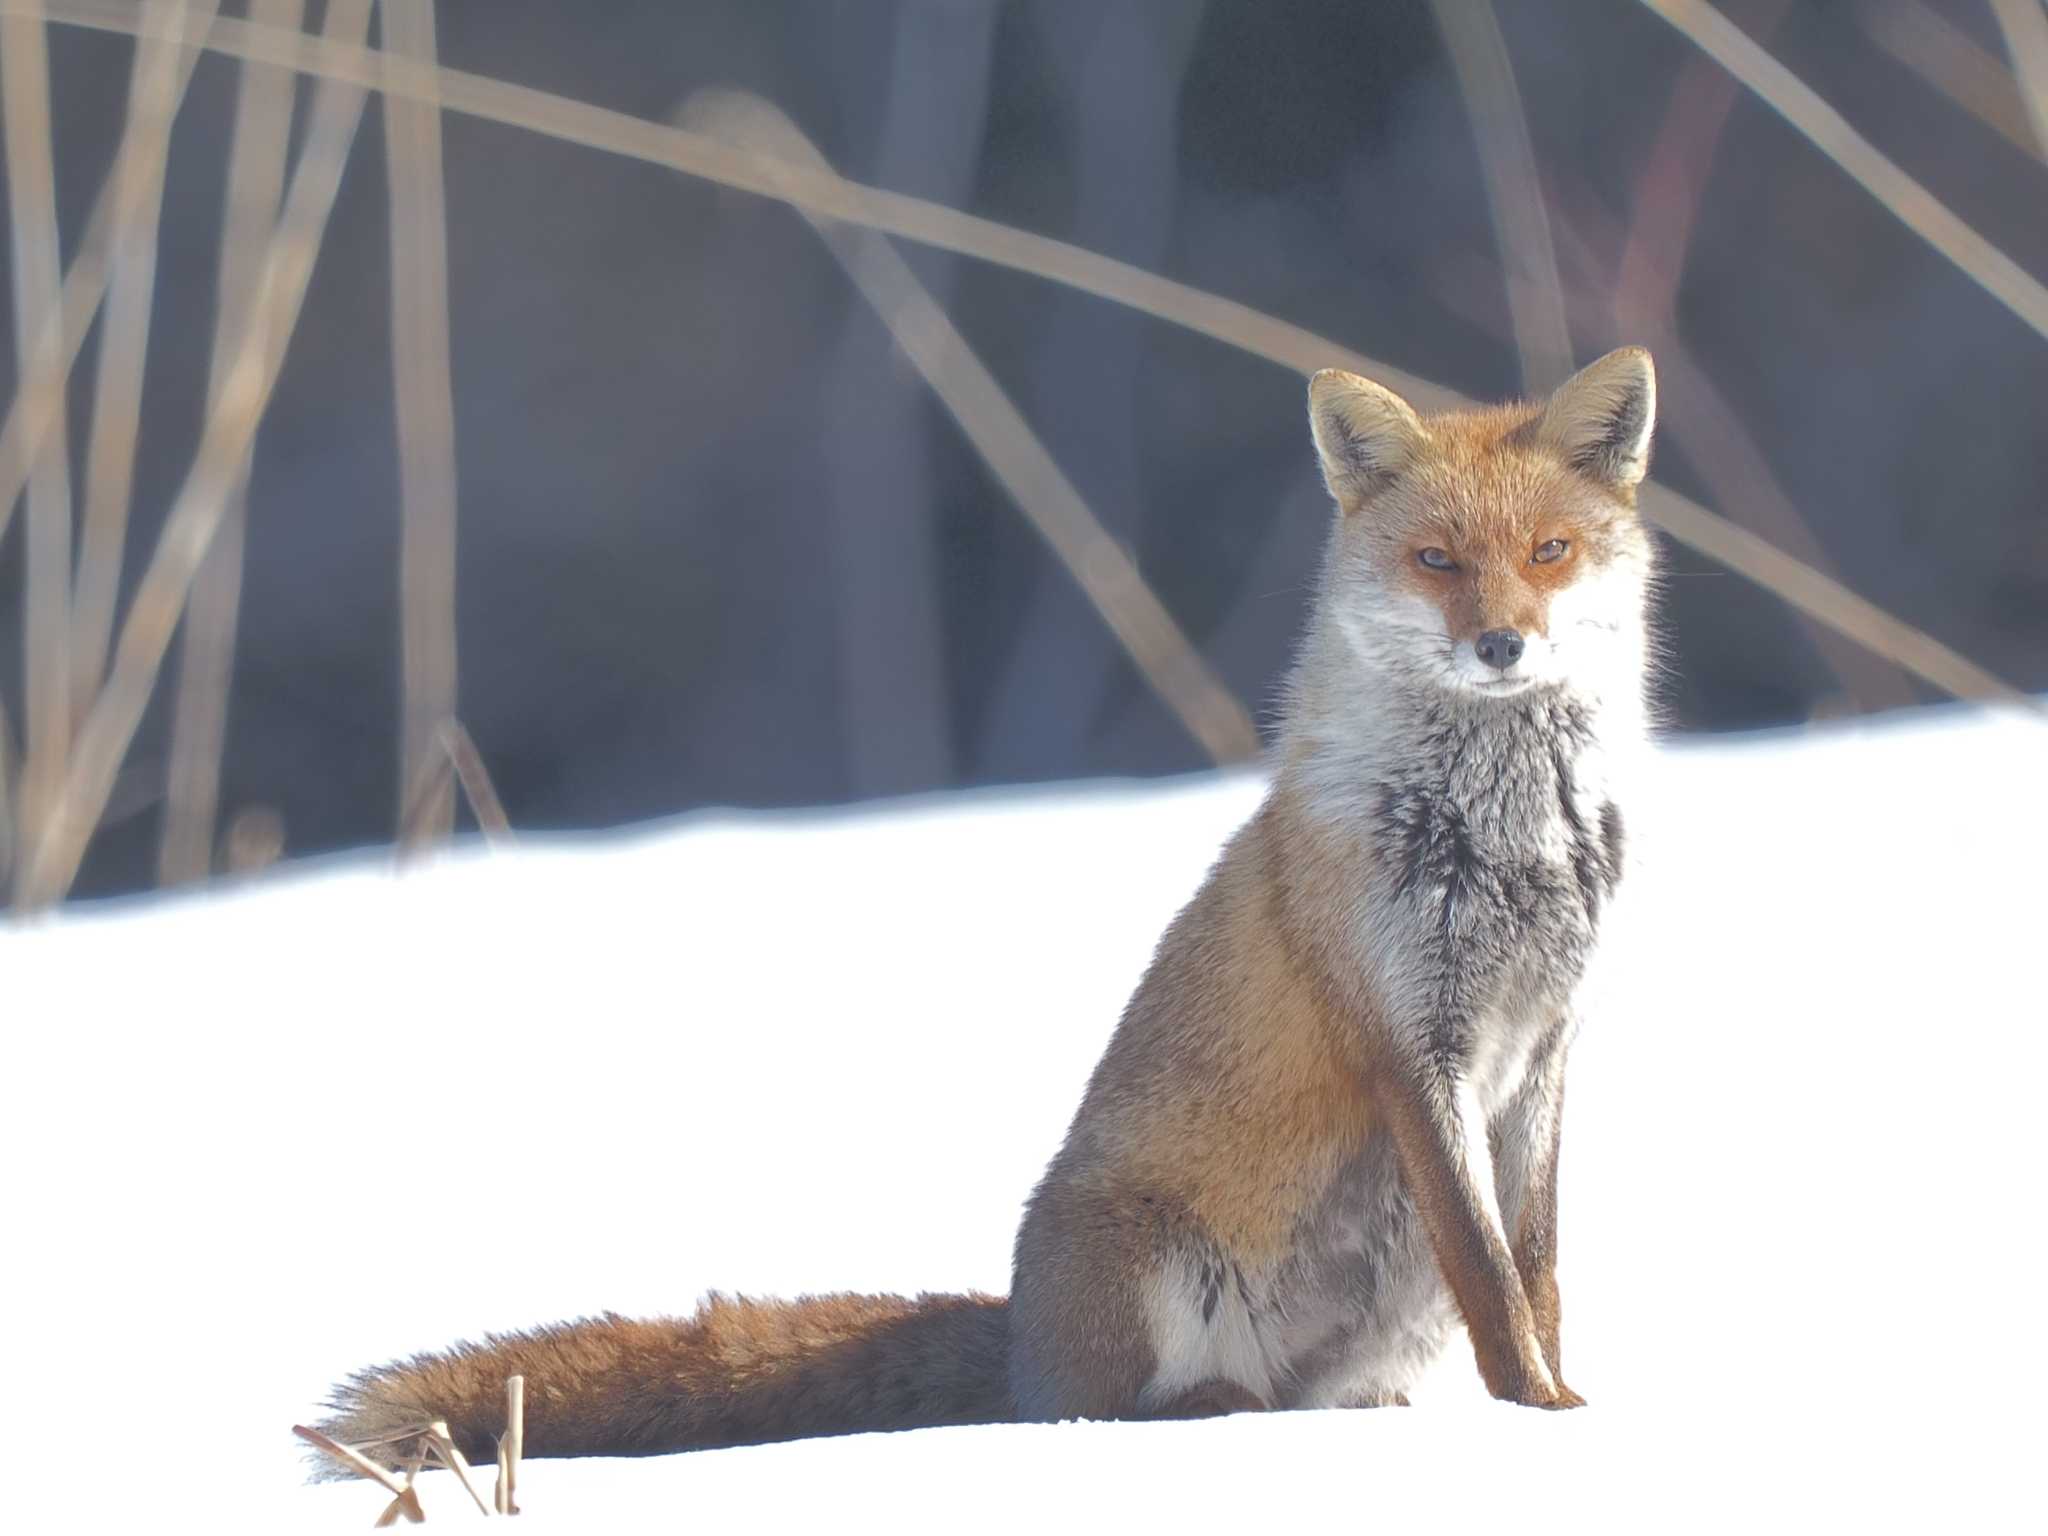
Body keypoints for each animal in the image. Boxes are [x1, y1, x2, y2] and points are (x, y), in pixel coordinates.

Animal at [323, 346, 1662, 1466]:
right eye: (1435, 561)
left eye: (1547, 552)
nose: (1500, 645)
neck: (1502, 839)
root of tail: (1018, 1341)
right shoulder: (1406, 1044)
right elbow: (1490, 1278)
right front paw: (1536, 1423)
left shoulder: (1541, 1047)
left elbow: (1535, 1273)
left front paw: (1562, 1410)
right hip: (1153, 1275)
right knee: (1122, 1414)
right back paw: (1198, 1412)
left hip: (1374, 1330)